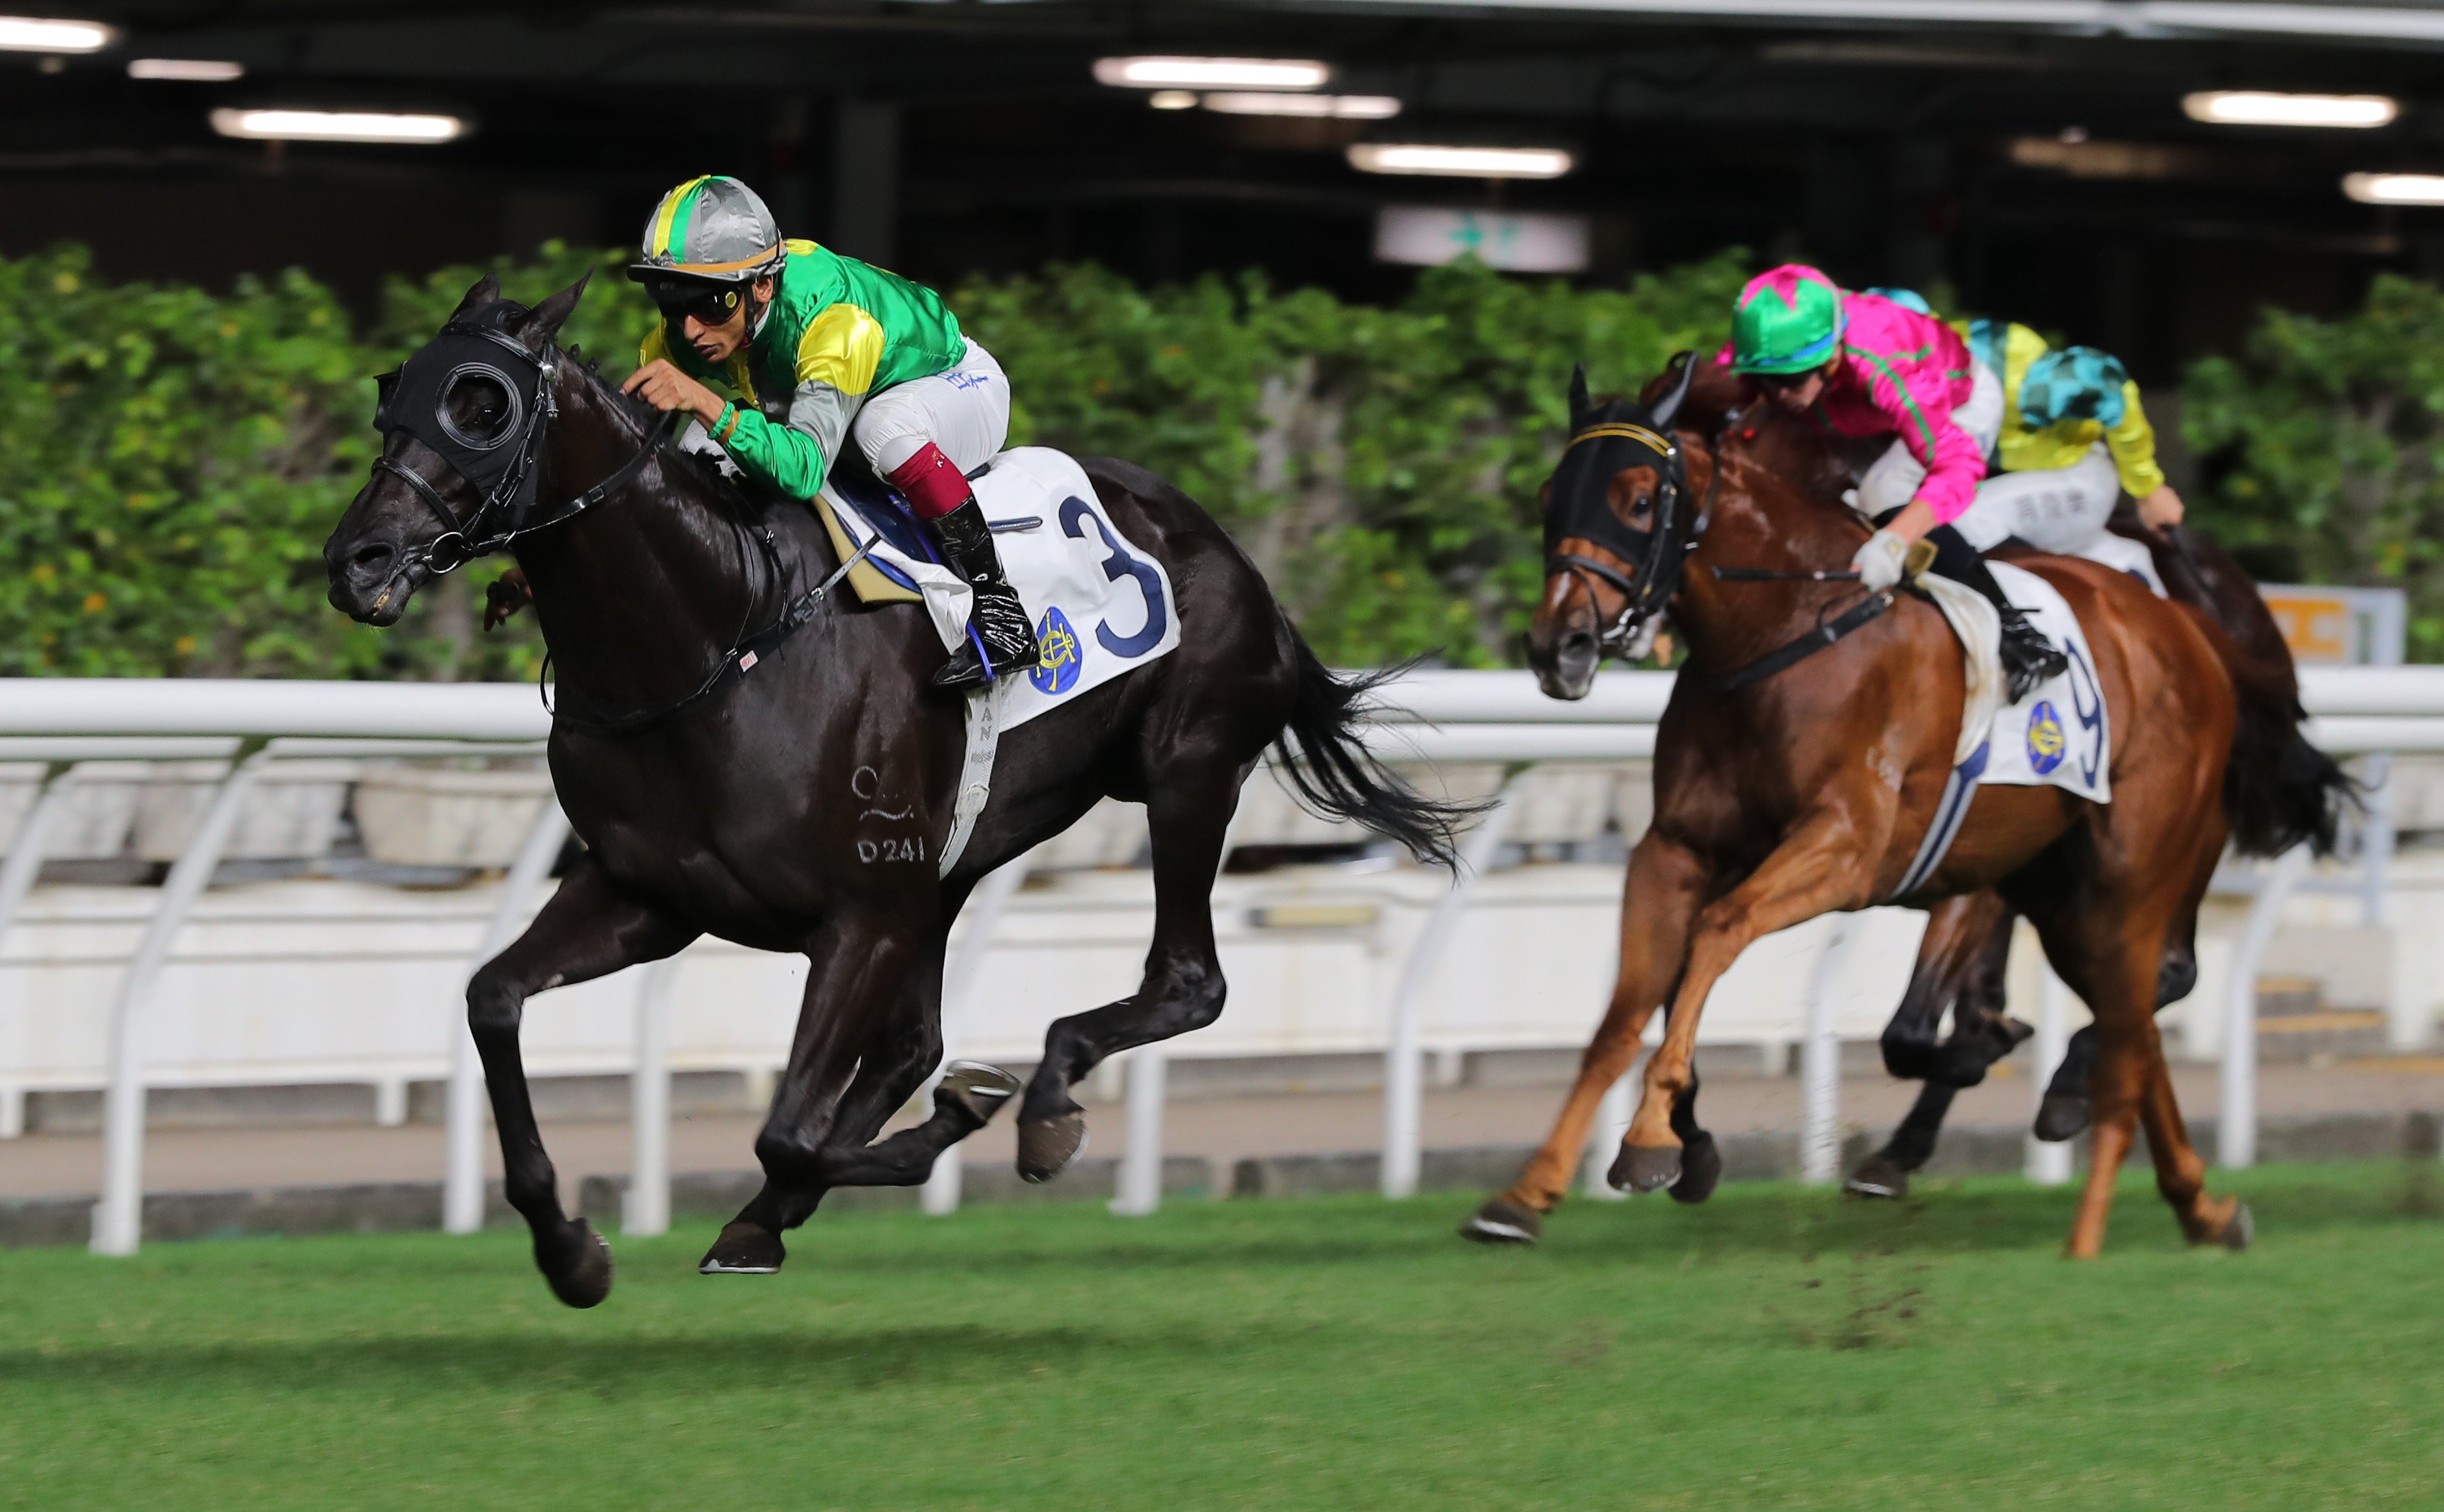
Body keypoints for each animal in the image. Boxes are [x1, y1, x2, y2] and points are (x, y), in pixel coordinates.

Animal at [329, 275, 1466, 1309]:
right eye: (392, 392)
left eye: (483, 405)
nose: (358, 560)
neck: (718, 634)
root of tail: (1227, 549)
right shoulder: (649, 893)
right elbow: (493, 1001)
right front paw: (571, 1249)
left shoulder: (861, 913)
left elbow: (788, 1132)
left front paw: (969, 1119)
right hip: (949, 865)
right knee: (915, 1041)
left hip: (1183, 771)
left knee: (1188, 981)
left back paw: (1042, 1098)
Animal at [1457, 361, 2336, 1260]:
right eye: (1549, 495)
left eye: (1637, 501)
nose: (1559, 646)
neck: (1781, 631)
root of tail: (2189, 627)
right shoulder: (1676, 848)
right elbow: (1630, 1008)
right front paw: (1539, 1189)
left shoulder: (1848, 849)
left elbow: (1719, 939)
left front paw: (1653, 1141)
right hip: (2062, 891)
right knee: (2134, 1019)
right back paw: (2198, 1202)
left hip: (2135, 868)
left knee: (2150, 991)